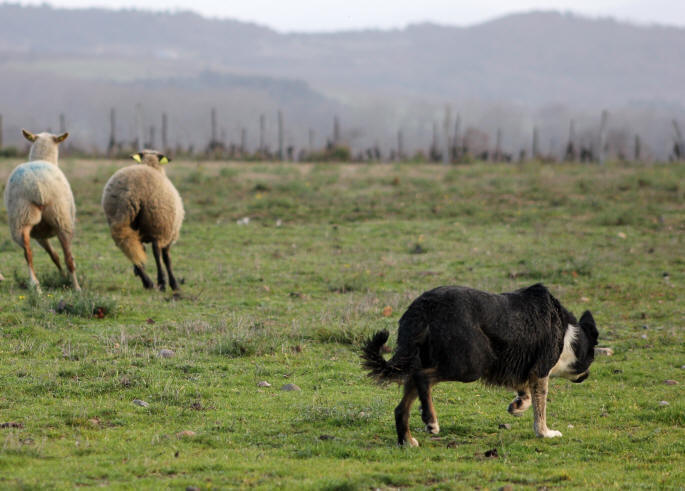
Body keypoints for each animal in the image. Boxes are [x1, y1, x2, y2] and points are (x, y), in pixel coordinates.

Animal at [3, 130, 80, 292]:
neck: (43, 158)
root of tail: (37, 185)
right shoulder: (41, 234)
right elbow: (56, 255)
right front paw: (63, 276)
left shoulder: (39, 234)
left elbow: (53, 255)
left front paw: (62, 276)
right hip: (61, 218)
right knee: (68, 257)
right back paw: (76, 287)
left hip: (22, 218)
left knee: (27, 252)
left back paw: (35, 285)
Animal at [101, 149, 184, 288]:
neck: (151, 164)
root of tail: (131, 193)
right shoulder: (170, 233)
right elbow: (167, 258)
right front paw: (174, 284)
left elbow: (143, 250)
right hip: (157, 222)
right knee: (156, 251)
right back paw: (161, 282)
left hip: (124, 222)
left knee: (129, 246)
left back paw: (146, 281)